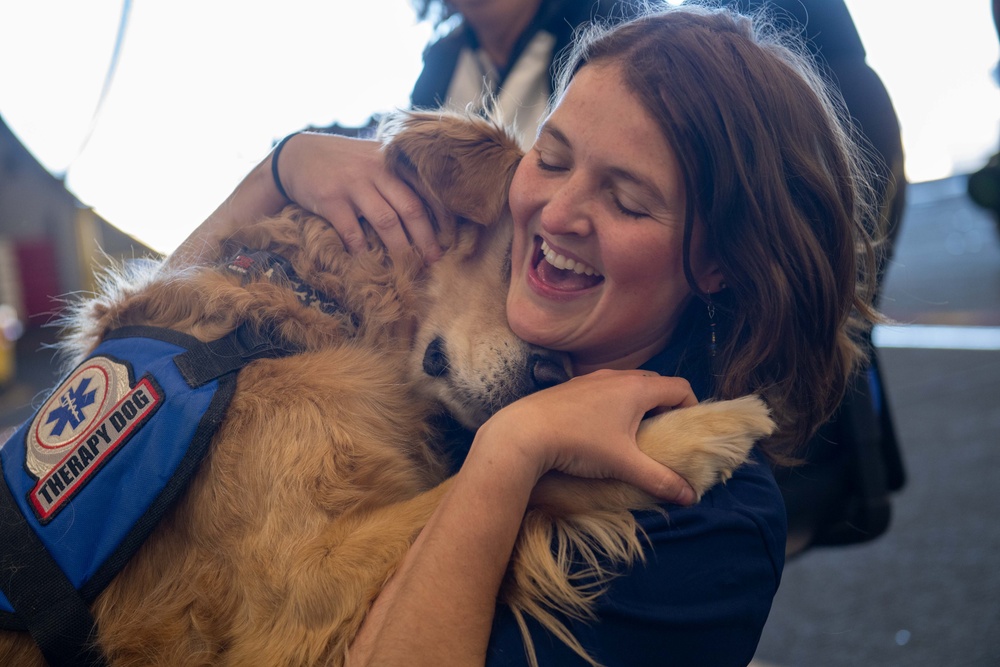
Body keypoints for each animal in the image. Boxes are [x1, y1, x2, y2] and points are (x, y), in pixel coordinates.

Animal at [0, 112, 772, 664]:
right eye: (519, 255)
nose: (557, 374)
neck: (308, 314)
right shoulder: (296, 596)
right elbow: (521, 470)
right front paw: (689, 432)